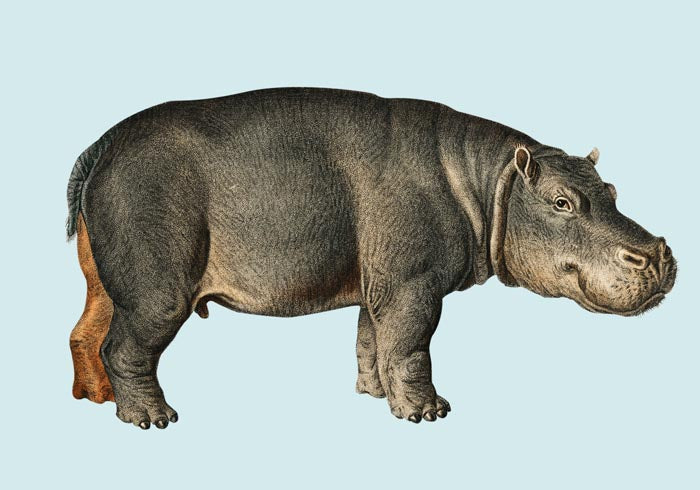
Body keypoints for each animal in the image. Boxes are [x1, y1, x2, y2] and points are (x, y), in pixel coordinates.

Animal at [66, 87, 677, 429]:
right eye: (561, 202)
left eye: (612, 190)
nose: (657, 252)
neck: (489, 180)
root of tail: (101, 146)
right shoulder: (413, 285)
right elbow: (410, 345)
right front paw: (428, 414)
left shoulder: (379, 282)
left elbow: (372, 340)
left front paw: (374, 395)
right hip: (157, 290)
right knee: (126, 348)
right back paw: (152, 419)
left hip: (109, 283)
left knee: (86, 333)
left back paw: (94, 400)